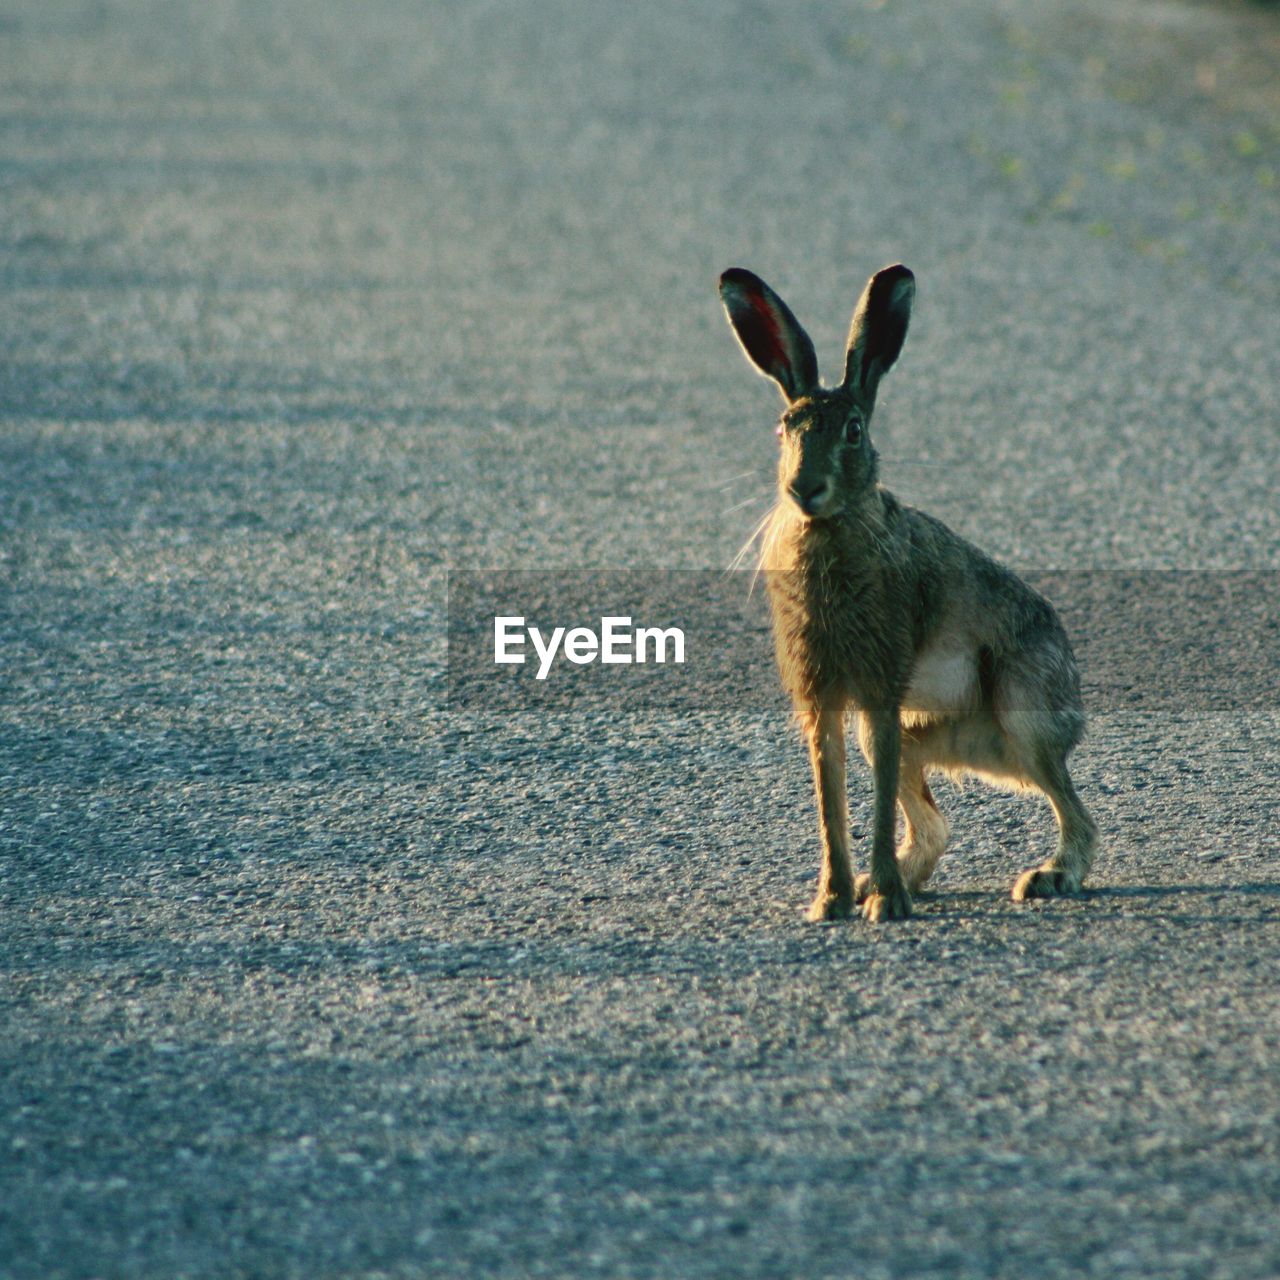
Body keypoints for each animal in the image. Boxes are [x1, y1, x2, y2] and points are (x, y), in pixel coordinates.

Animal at [721, 262, 1100, 921]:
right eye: (784, 429)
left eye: (853, 430)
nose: (804, 489)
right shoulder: (822, 692)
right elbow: (830, 795)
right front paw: (831, 902)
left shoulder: (881, 680)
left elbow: (866, 804)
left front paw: (884, 905)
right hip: (929, 740)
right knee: (935, 824)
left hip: (1024, 715)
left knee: (1075, 814)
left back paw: (1044, 877)